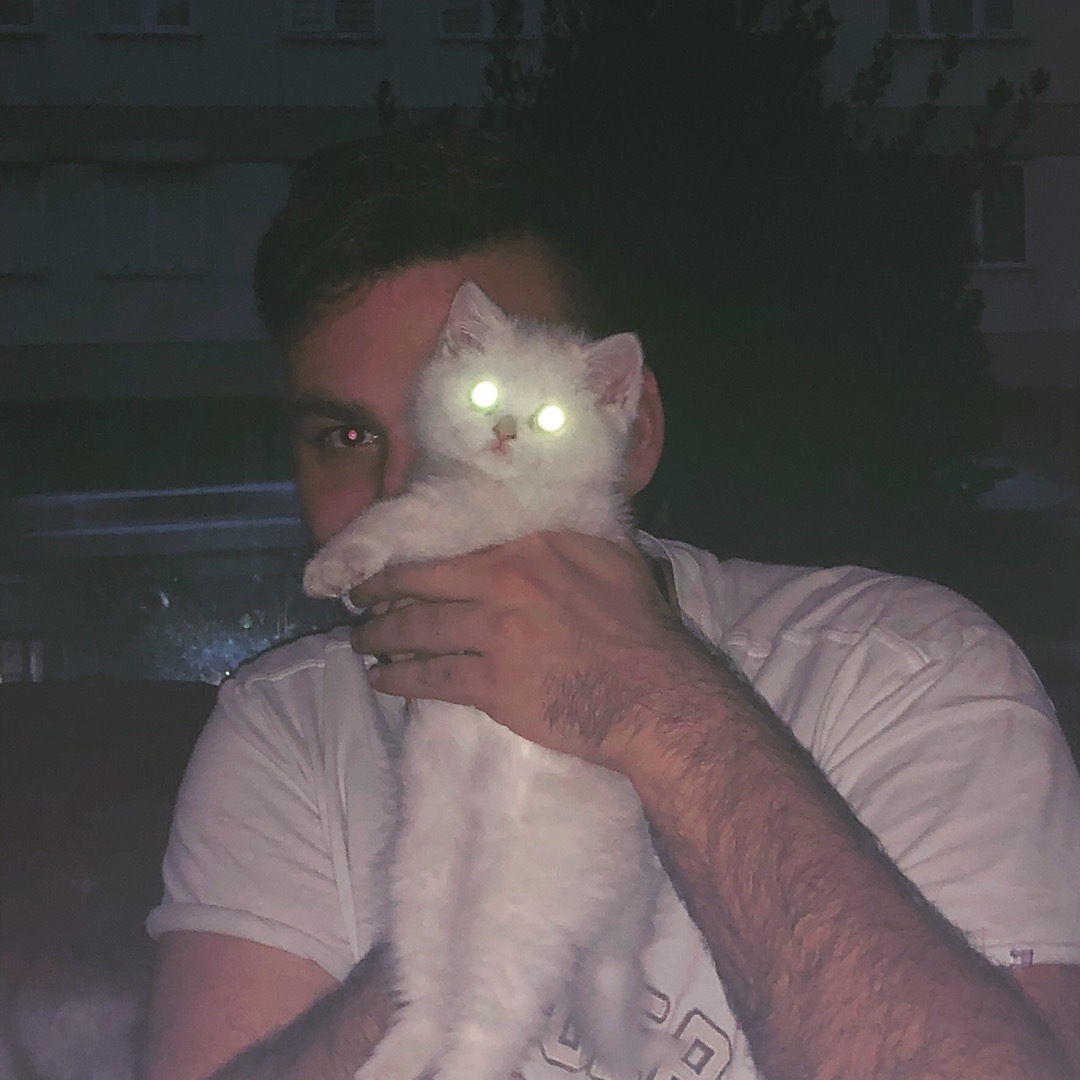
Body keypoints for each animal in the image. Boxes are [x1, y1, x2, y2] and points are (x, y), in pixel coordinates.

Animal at [304, 282, 670, 1080]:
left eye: (552, 417)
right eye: (483, 392)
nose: (503, 432)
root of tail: (622, 898)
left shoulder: (490, 522)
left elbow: (407, 515)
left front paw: (335, 561)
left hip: (522, 910)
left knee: (484, 1032)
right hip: (421, 878)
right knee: (429, 1003)